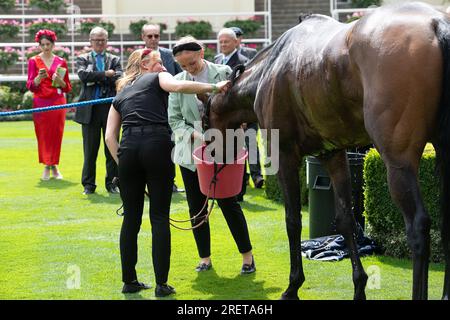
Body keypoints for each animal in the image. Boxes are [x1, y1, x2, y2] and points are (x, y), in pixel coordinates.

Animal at [203, 1, 450, 298]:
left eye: (204, 122)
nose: (211, 159)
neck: (270, 69)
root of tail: (436, 23)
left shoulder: (284, 155)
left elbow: (293, 219)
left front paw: (293, 285)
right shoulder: (332, 154)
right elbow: (345, 219)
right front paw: (359, 286)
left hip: (398, 162)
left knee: (418, 228)